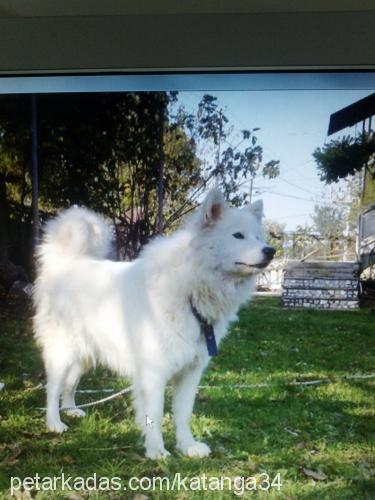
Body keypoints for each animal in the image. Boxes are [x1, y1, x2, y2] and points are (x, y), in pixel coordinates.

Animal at [33, 189, 276, 458]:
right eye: (238, 235)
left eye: (257, 237)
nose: (271, 250)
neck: (191, 290)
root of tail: (67, 262)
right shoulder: (154, 372)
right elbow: (156, 415)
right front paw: (157, 451)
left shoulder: (191, 372)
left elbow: (183, 414)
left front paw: (188, 446)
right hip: (63, 351)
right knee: (52, 387)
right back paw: (54, 422)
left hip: (86, 352)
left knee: (70, 382)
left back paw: (70, 409)